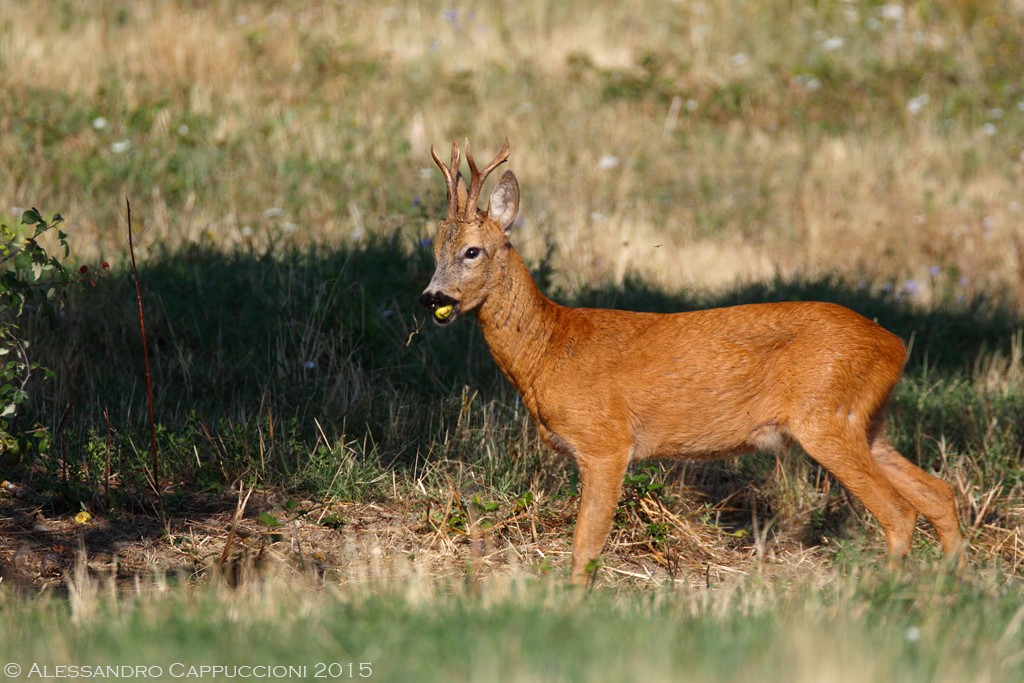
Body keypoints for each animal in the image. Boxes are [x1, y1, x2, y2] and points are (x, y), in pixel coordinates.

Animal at [415, 141, 958, 585]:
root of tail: (895, 345)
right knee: (938, 493)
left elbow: (585, 548)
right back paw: (951, 589)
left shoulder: (606, 442)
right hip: (865, 421)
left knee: (899, 512)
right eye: (435, 250)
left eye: (472, 251)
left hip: (825, 416)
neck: (549, 349)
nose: (432, 297)